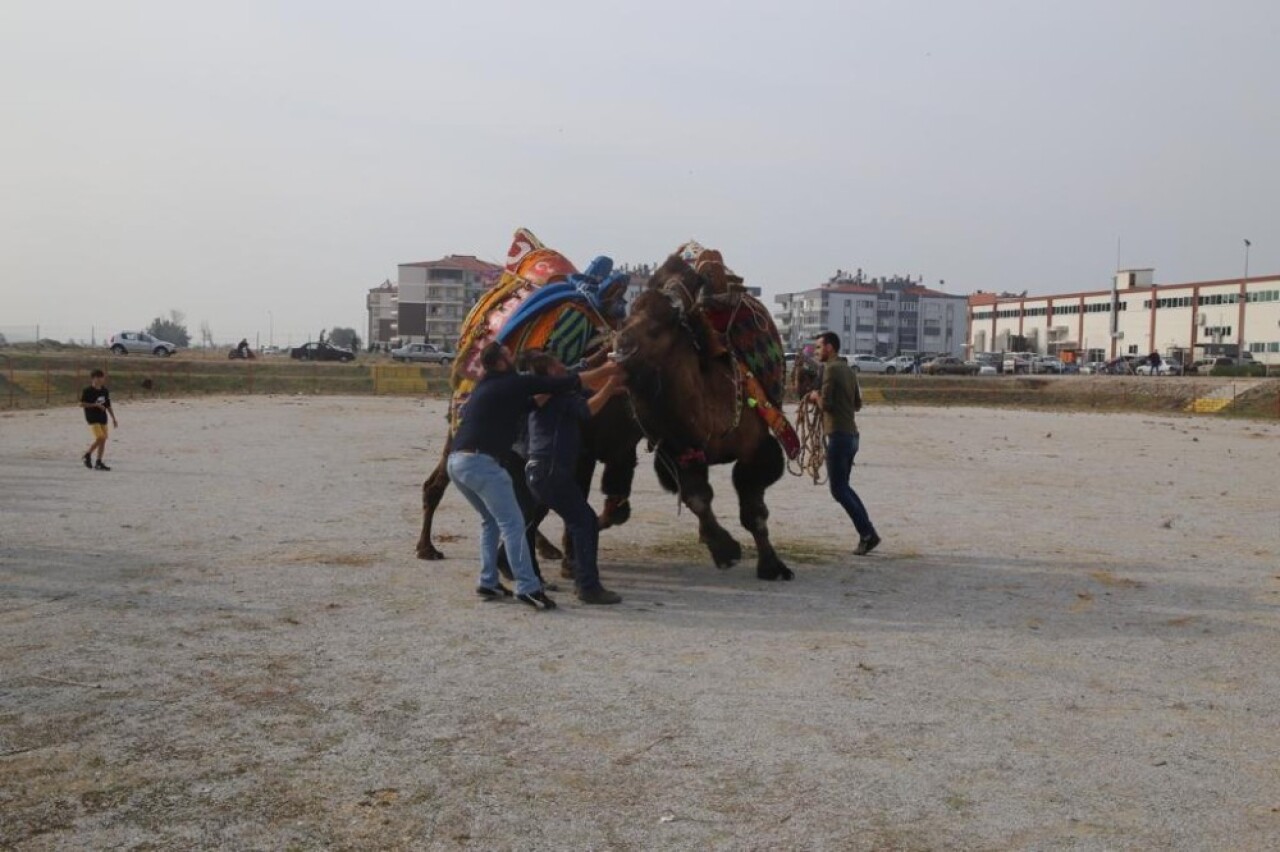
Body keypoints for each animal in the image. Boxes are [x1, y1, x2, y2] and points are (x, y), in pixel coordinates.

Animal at [609, 245, 798, 578]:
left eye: (656, 329)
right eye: (626, 318)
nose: (622, 346)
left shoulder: (755, 448)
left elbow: (753, 510)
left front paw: (771, 565)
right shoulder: (680, 449)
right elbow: (696, 498)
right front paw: (725, 549)